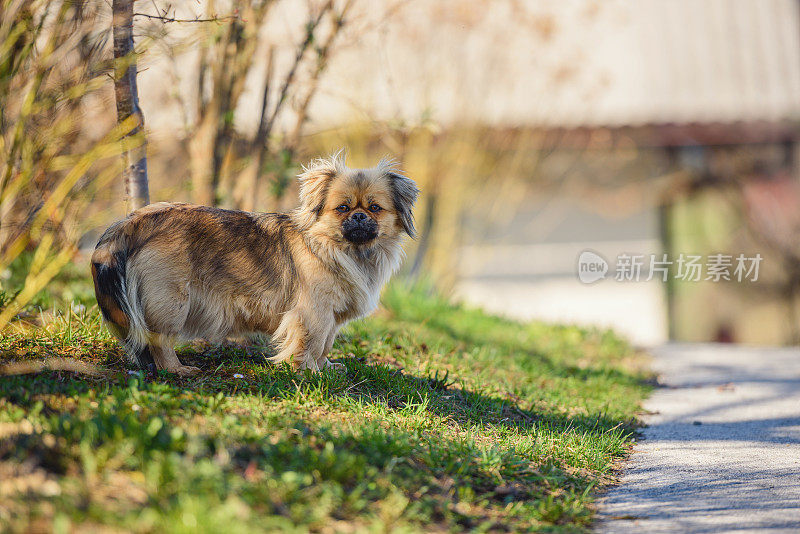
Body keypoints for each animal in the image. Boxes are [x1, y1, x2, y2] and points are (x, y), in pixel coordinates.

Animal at [91, 155, 418, 376]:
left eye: (374, 208)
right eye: (343, 209)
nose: (359, 217)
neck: (346, 251)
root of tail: (135, 222)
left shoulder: (331, 318)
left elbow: (326, 344)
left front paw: (326, 366)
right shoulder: (314, 312)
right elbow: (311, 343)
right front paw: (310, 372)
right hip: (172, 303)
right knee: (160, 342)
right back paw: (177, 369)